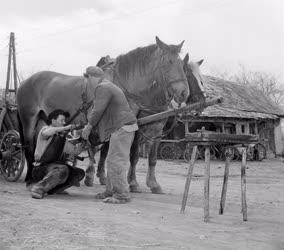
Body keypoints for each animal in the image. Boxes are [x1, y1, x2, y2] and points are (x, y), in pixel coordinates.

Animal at [15, 36, 189, 186]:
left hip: (44, 121)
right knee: (30, 146)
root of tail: (25, 82)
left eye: (182, 64)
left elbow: (110, 152)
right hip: (29, 120)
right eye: (168, 63)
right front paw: (98, 178)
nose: (183, 93)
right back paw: (30, 176)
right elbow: (105, 151)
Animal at [90, 52, 205, 193]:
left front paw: (153, 184)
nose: (202, 101)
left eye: (200, 77)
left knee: (104, 151)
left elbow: (153, 158)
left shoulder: (157, 132)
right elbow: (134, 156)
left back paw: (102, 176)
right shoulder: (136, 131)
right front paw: (133, 182)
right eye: (187, 74)